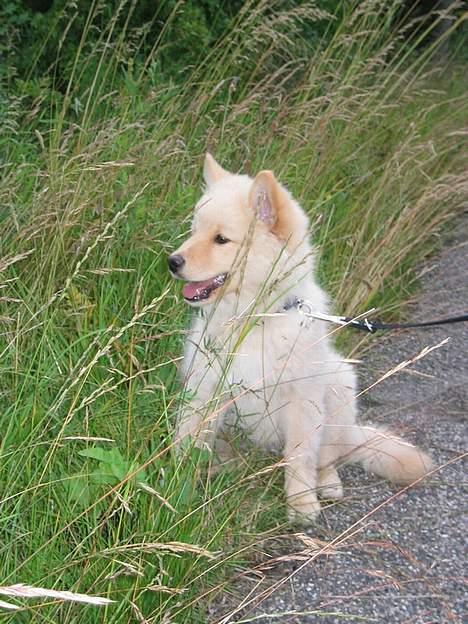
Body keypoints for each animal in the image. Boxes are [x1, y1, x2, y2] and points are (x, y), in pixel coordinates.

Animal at [169, 154, 436, 524]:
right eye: (194, 231)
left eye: (221, 239)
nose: (172, 262)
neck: (256, 320)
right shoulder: (206, 386)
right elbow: (189, 435)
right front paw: (176, 476)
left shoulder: (302, 401)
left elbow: (299, 457)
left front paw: (301, 505)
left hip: (338, 388)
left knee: (327, 458)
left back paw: (327, 484)